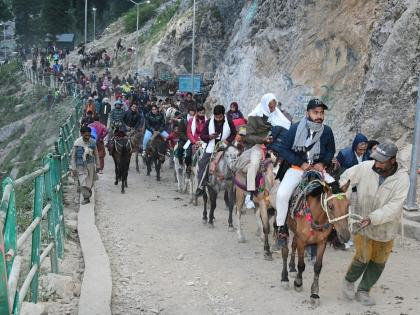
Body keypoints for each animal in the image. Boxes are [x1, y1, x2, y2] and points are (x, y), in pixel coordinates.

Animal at [270, 174, 350, 308]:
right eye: (330, 206)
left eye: (348, 205)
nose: (345, 236)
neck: (316, 217)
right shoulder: (302, 241)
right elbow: (301, 264)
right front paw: (298, 282)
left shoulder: (322, 242)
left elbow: (317, 267)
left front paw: (315, 294)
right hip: (284, 227)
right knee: (285, 251)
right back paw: (285, 278)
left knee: (293, 245)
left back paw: (292, 268)